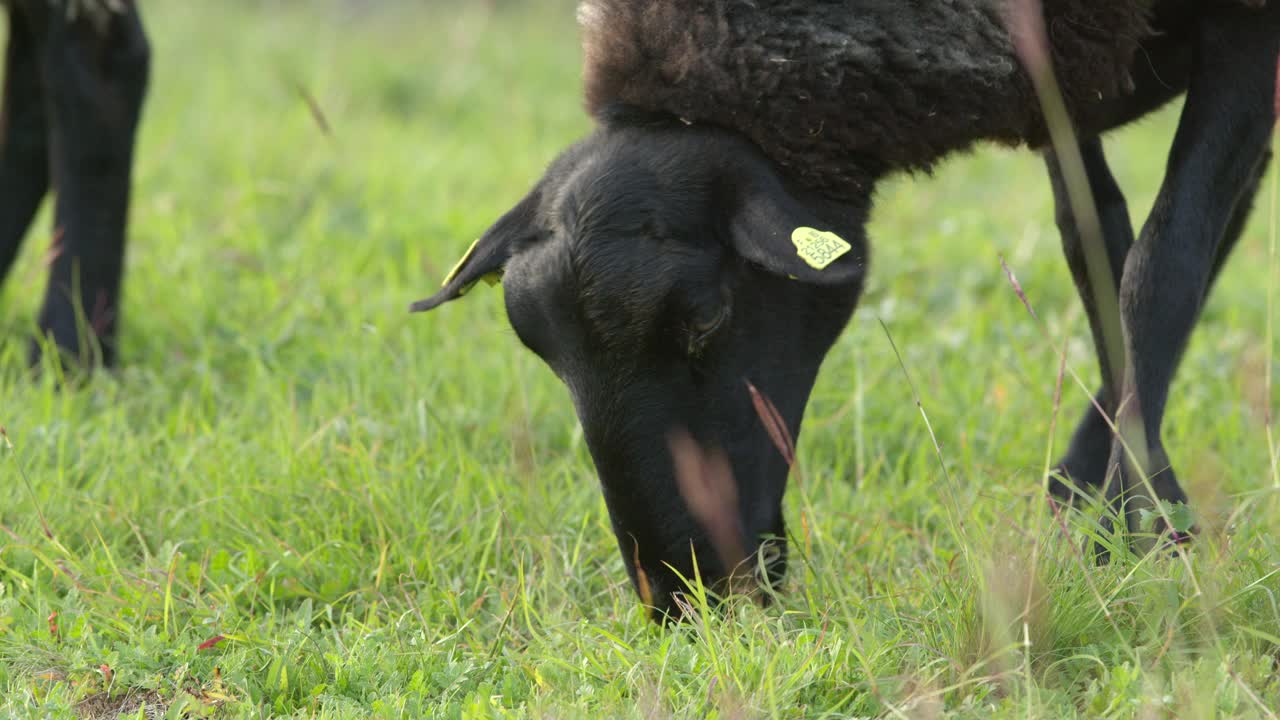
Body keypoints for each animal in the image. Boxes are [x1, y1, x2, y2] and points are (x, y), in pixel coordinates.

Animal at [419, 1, 1280, 617]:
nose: (681, 597)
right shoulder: (1064, 68)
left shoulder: (1236, 27)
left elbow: (1160, 263)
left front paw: (1143, 521)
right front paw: (1107, 495)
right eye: (538, 346)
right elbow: (1094, 242)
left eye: (706, 316)